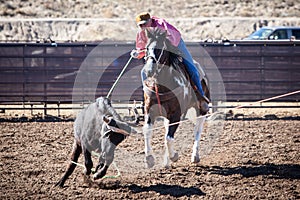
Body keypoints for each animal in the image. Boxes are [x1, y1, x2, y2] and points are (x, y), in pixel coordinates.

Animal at [141, 27, 210, 168]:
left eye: (159, 49)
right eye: (147, 48)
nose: (148, 70)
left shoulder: (176, 114)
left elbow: (169, 137)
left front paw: (174, 156)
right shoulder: (150, 111)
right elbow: (148, 131)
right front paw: (149, 159)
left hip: (201, 109)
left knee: (197, 129)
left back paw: (195, 156)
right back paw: (166, 162)